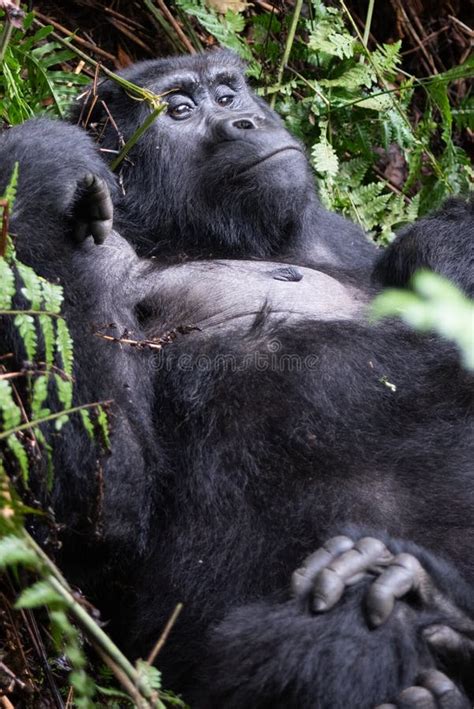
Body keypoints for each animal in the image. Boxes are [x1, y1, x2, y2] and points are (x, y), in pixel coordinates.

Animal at [0, 51, 474, 708]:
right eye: (179, 110)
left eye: (227, 95)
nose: (244, 120)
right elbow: (103, 504)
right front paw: (39, 163)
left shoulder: (337, 232)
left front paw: (450, 239)